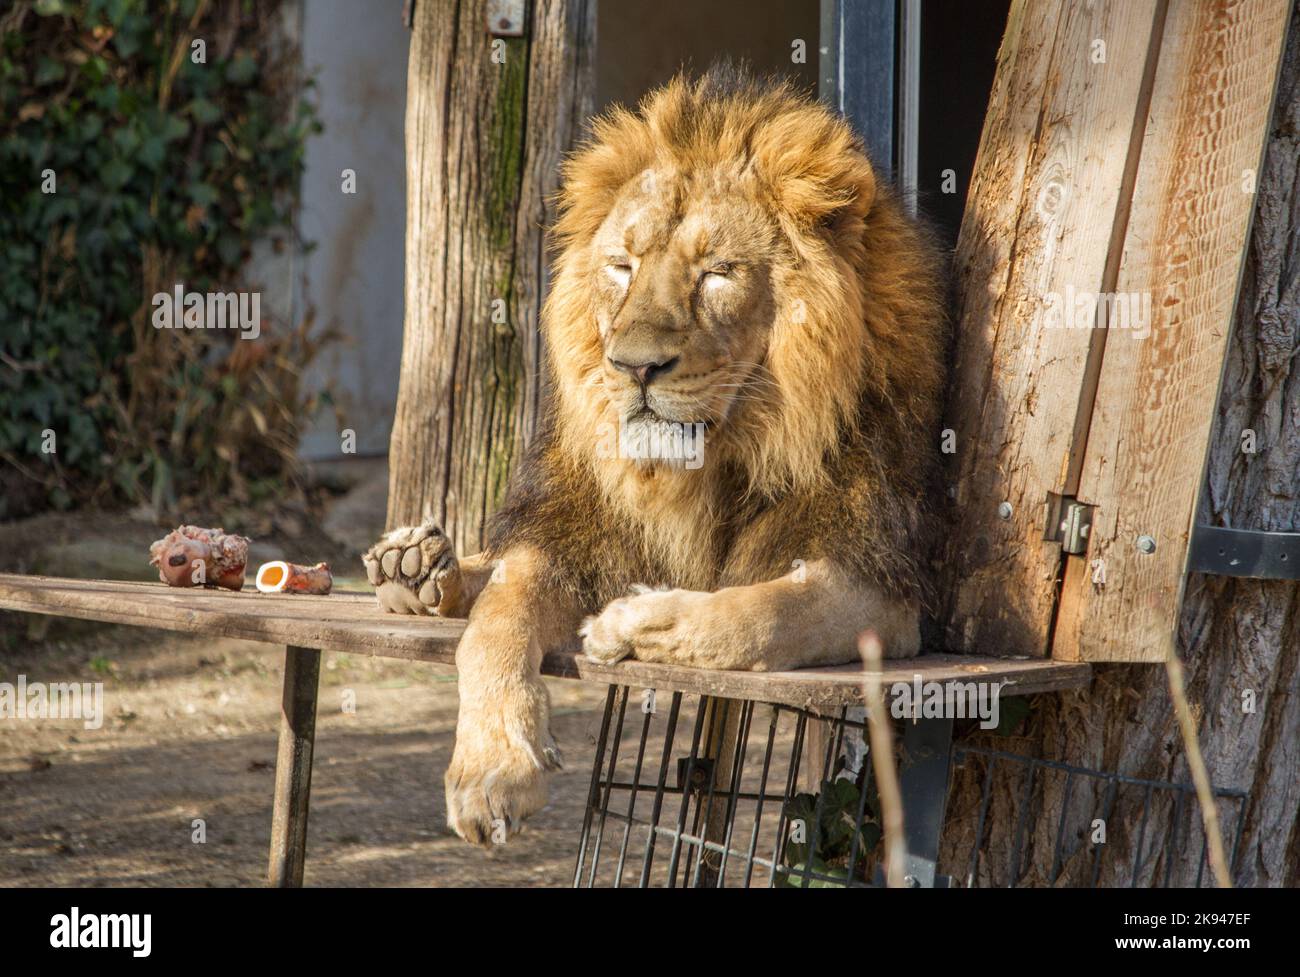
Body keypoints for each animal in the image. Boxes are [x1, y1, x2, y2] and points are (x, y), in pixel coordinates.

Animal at [362, 66, 947, 847]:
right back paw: (415, 567)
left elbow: (767, 612)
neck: (706, 467)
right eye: (622, 266)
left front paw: (632, 623)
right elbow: (495, 621)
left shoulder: (888, 588)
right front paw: (494, 769)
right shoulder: (575, 539)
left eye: (718, 273)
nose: (634, 366)